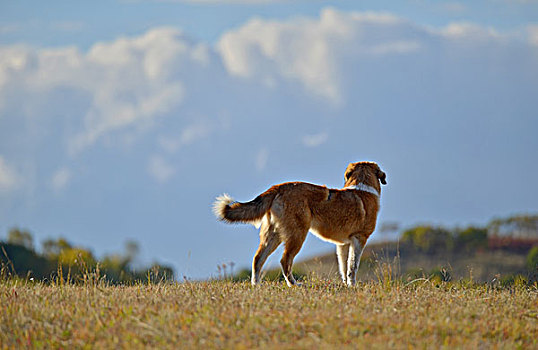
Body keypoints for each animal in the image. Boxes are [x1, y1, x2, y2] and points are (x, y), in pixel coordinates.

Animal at [211, 161, 384, 288]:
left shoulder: (343, 244)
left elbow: (344, 266)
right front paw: (353, 286)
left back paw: (256, 285)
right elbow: (353, 266)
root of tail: (278, 188)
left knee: (258, 259)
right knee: (284, 260)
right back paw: (293, 284)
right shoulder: (359, 239)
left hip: (272, 235)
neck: (363, 187)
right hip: (297, 235)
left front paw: (347, 285)